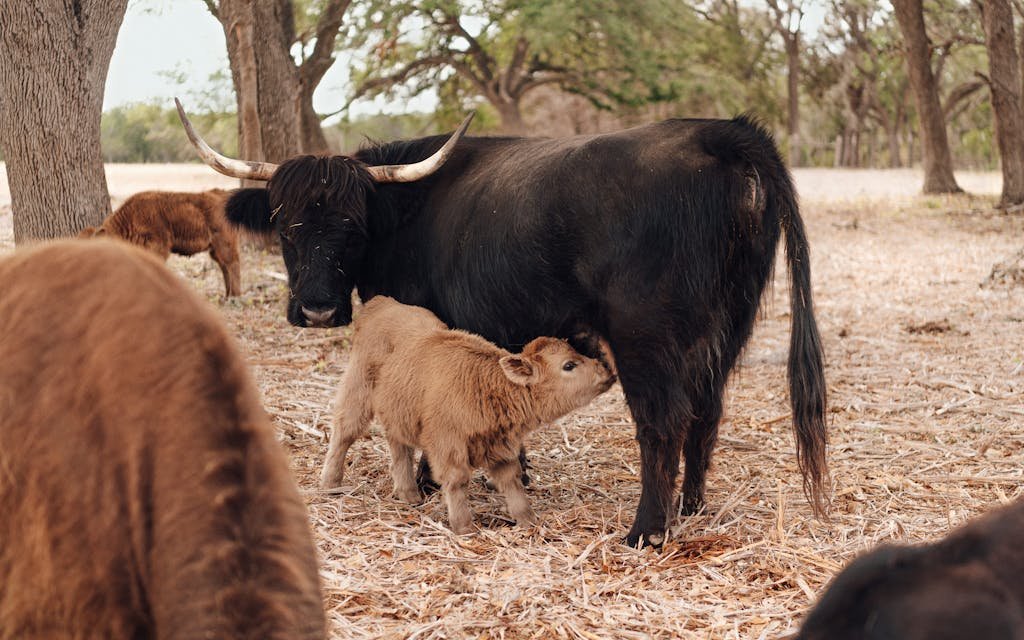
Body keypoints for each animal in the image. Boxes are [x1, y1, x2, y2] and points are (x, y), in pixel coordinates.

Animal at [79, 188, 243, 296]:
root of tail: (220, 193)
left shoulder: (159, 248)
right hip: (215, 249)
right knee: (224, 266)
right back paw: (227, 296)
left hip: (224, 243)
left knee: (232, 263)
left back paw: (234, 297)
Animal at [320, 296, 617, 534]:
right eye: (569, 365)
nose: (606, 370)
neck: (486, 384)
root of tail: (381, 303)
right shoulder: (448, 445)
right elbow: (457, 480)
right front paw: (464, 526)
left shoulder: (501, 448)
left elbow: (511, 481)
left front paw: (527, 520)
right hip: (357, 394)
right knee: (344, 432)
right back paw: (331, 484)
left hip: (398, 411)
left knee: (399, 446)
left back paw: (409, 494)